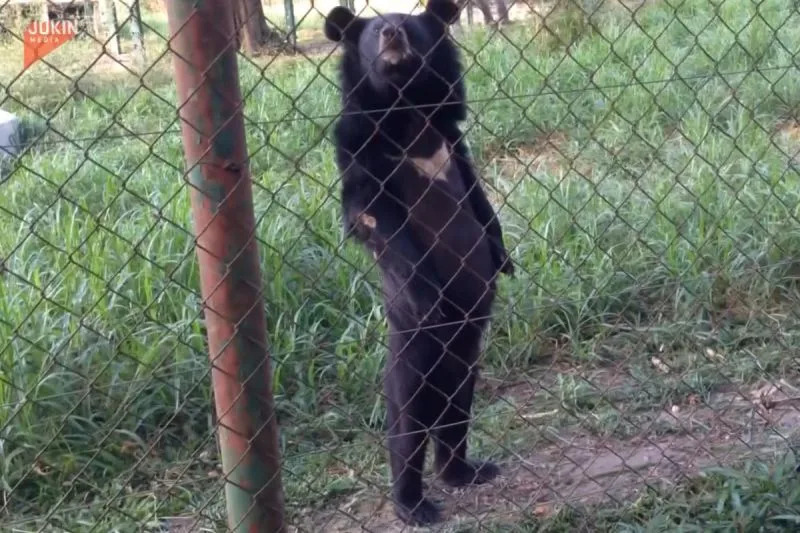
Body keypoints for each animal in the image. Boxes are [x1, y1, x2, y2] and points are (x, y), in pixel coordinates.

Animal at [324, 0, 512, 524]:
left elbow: (479, 200)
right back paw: (414, 505)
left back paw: (464, 471)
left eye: (410, 26)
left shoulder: (454, 142)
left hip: (467, 344)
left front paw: (504, 258)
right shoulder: (361, 153)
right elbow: (375, 219)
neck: (406, 109)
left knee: (458, 396)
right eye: (373, 33)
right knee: (407, 411)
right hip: (413, 340)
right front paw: (429, 289)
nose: (392, 32)